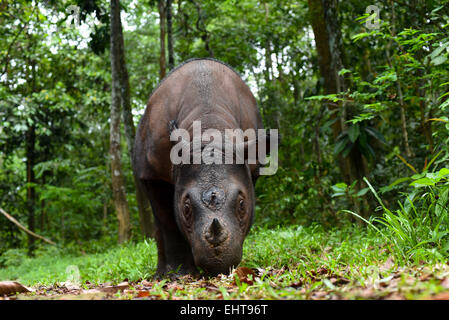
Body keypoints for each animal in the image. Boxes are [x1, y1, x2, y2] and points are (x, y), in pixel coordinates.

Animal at [131, 58, 274, 278]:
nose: (218, 262)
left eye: (242, 205)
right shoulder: (152, 173)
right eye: (186, 208)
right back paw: (161, 275)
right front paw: (179, 275)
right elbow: (168, 220)